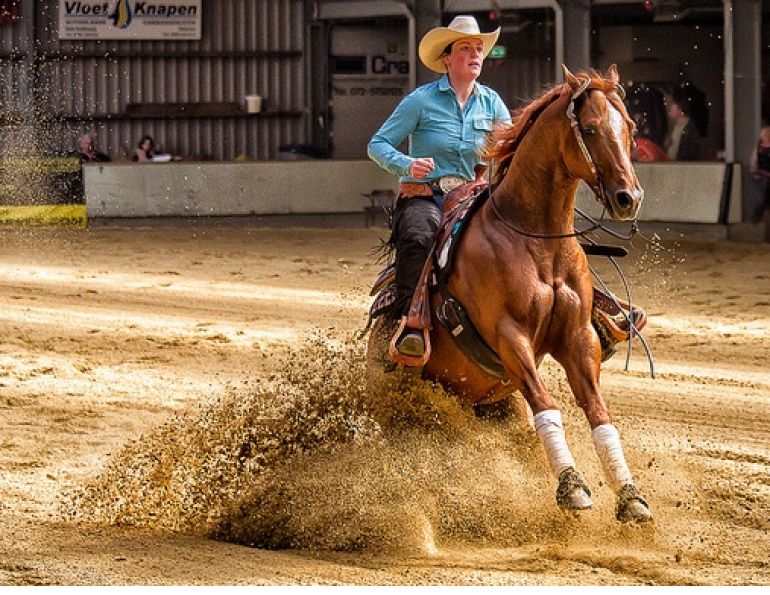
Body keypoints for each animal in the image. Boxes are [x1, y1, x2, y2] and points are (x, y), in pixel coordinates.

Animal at [367, 65, 652, 523]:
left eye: (629, 127)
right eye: (590, 129)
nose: (629, 198)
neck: (536, 239)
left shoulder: (578, 339)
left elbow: (598, 413)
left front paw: (630, 495)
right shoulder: (509, 335)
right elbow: (545, 402)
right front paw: (572, 487)